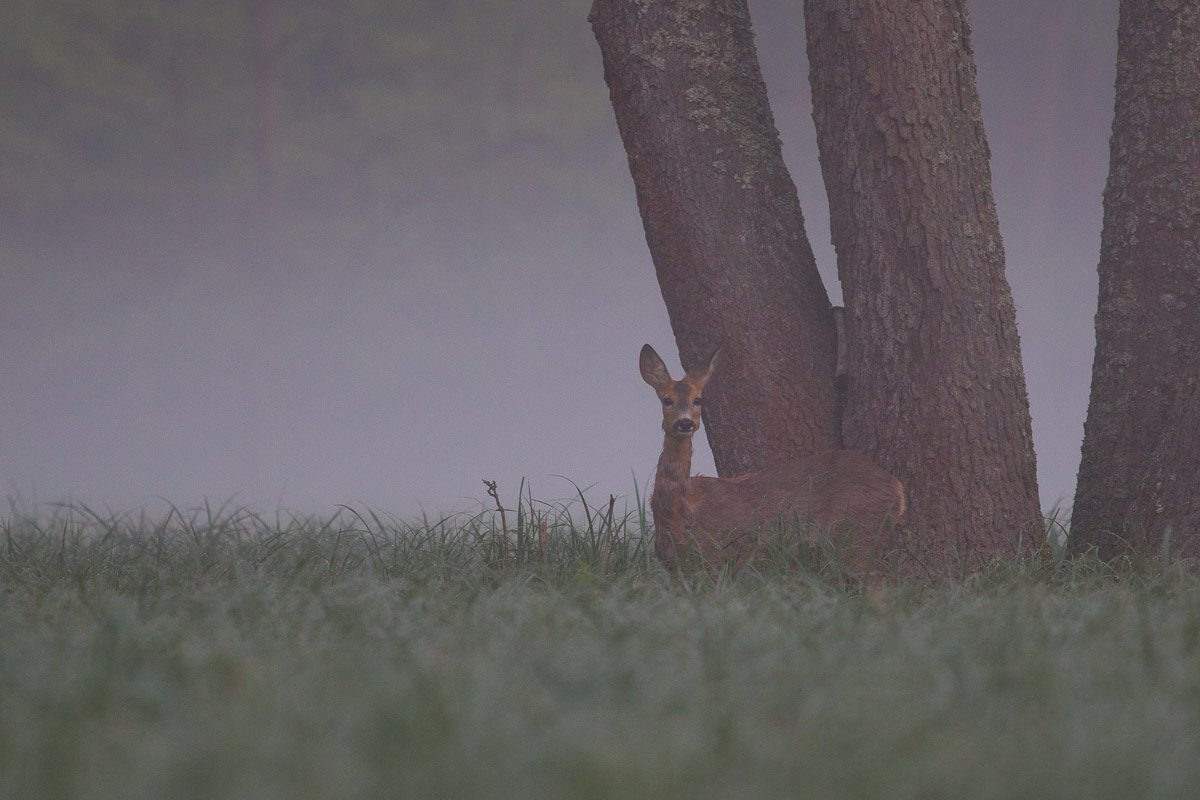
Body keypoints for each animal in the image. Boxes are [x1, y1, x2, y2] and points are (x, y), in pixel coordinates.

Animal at [639, 343, 906, 576]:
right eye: (667, 400)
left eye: (698, 400)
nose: (685, 423)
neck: (677, 510)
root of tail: (897, 488)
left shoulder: (717, 557)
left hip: (858, 532)